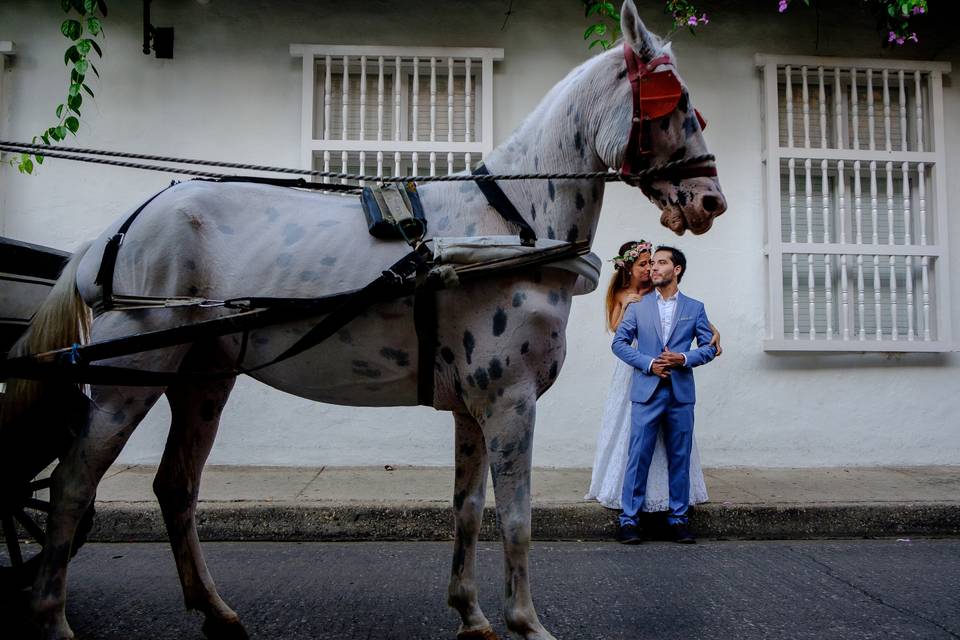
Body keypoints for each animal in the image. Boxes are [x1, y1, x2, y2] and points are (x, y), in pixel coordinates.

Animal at [9, 2, 728, 636]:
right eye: (677, 103)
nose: (711, 201)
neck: (511, 226)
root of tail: (115, 232)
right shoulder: (509, 400)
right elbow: (517, 520)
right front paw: (526, 623)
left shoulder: (473, 406)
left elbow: (469, 509)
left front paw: (472, 615)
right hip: (129, 378)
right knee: (72, 483)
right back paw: (52, 616)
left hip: (203, 380)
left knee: (176, 487)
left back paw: (215, 611)